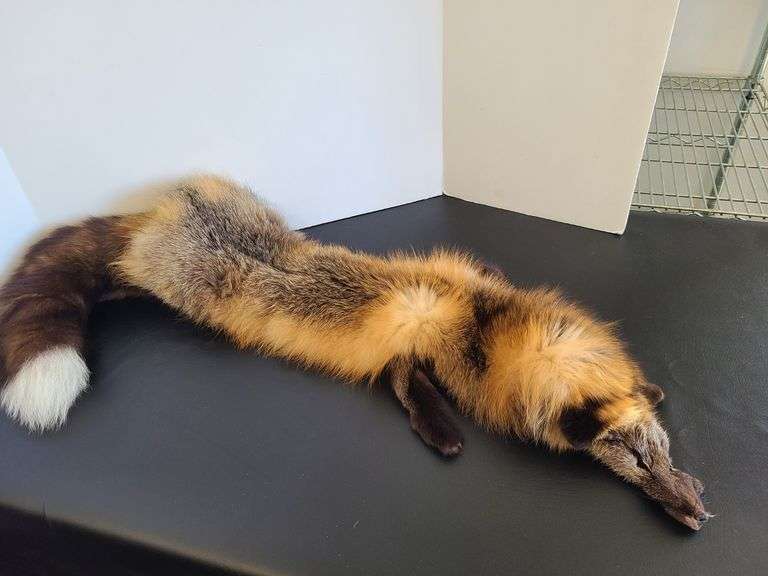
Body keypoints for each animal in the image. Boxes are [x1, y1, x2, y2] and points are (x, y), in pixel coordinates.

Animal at [0, 175, 710, 529]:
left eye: (662, 451)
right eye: (635, 465)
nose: (700, 510)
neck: (482, 321)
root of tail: (161, 214)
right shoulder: (415, 351)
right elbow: (412, 395)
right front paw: (445, 438)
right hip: (176, 284)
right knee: (119, 271)